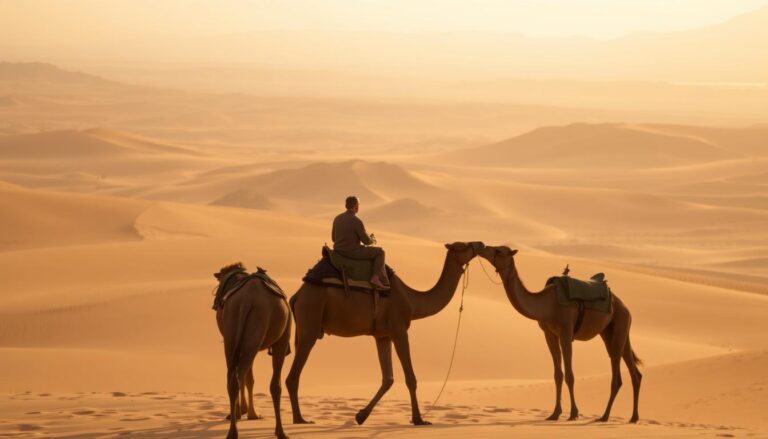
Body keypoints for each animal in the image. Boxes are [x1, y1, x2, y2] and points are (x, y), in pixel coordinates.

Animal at [214, 263, 292, 439]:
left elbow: (248, 378)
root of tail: (246, 300)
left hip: (232, 336)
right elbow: (274, 385)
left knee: (232, 378)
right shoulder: (281, 341)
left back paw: (232, 429)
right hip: (257, 331)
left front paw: (244, 413)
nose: (216, 304)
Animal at [286, 241, 485, 426]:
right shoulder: (399, 330)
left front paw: (360, 416)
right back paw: (300, 419)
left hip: (304, 327)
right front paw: (418, 419)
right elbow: (410, 378)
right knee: (293, 376)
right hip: (310, 321)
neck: (412, 301)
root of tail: (297, 296)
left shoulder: (382, 335)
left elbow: (388, 378)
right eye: (464, 245)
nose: (480, 244)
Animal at [478, 246, 642, 423]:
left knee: (617, 376)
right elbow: (558, 375)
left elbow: (570, 375)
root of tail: (626, 308)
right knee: (634, 372)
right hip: (612, 331)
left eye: (499, 251)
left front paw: (574, 413)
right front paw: (555, 413)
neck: (546, 305)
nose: (482, 247)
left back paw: (604, 416)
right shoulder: (549, 334)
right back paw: (633, 417)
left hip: (619, 323)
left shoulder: (566, 332)